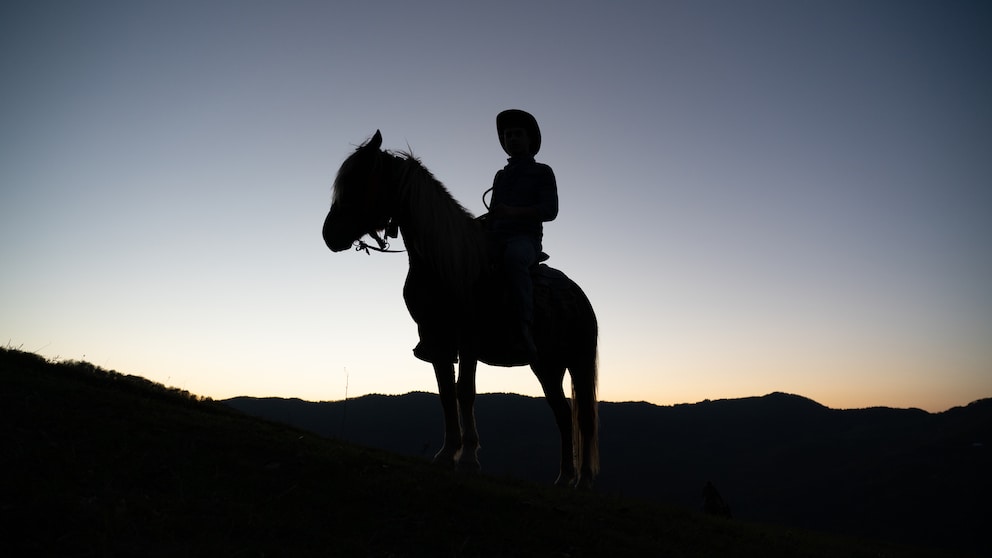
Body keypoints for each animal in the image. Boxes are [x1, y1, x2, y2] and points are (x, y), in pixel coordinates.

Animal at [326, 131, 600, 490]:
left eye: (360, 181)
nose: (329, 234)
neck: (446, 262)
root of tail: (580, 297)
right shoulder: (436, 340)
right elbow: (446, 393)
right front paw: (446, 454)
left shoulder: (468, 339)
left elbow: (465, 392)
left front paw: (469, 459)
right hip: (547, 367)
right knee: (563, 414)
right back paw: (564, 477)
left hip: (578, 363)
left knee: (584, 419)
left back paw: (584, 482)